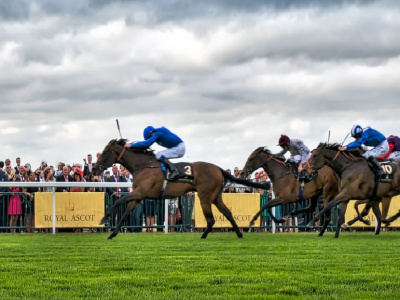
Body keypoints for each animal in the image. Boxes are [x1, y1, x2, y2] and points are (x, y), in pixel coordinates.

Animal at [92, 139, 270, 240]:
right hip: (216, 197)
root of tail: (218, 169)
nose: (94, 168)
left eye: (106, 152)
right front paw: (112, 234)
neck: (143, 165)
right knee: (227, 212)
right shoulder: (138, 196)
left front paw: (103, 219)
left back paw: (203, 236)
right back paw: (239, 233)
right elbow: (125, 214)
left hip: (205, 197)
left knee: (211, 219)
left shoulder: (139, 192)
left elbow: (119, 201)